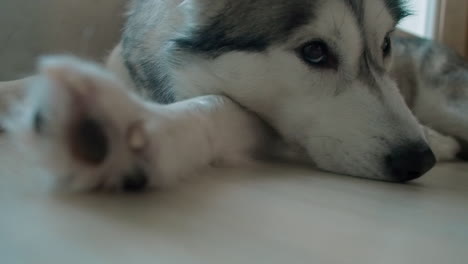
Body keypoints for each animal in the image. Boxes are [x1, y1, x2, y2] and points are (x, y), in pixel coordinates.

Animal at [0, 0, 466, 191]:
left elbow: (216, 107)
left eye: (384, 43)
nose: (416, 160)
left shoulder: (264, 125)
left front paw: (134, 128)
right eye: (315, 51)